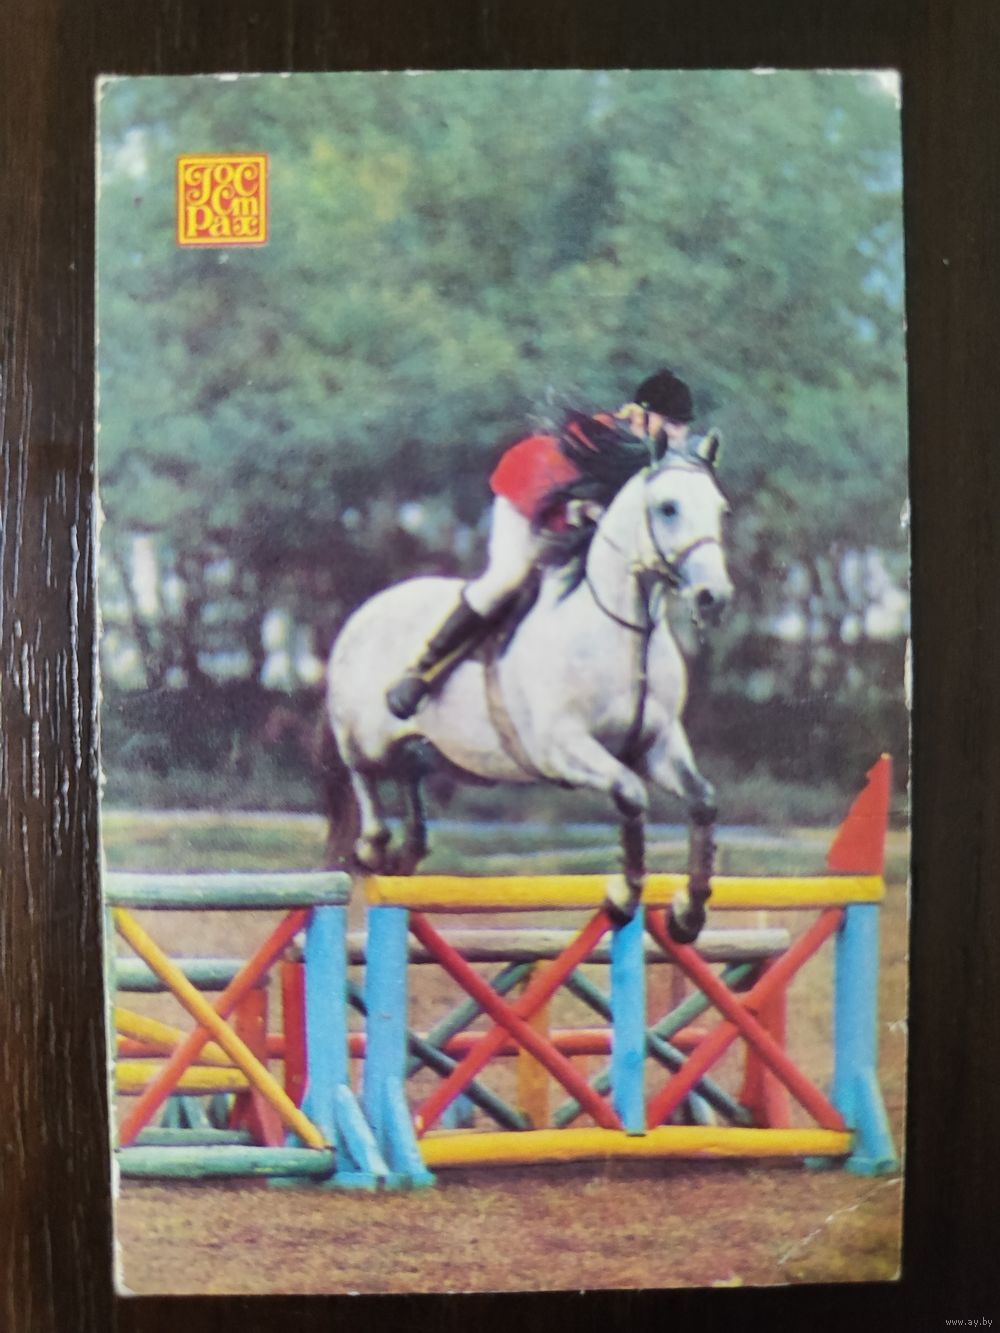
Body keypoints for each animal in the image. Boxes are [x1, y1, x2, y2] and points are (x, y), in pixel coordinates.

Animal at [321, 433, 733, 944]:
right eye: (668, 507)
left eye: (721, 509)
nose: (714, 597)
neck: (623, 631)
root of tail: (366, 610)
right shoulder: (563, 747)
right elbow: (632, 795)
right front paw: (623, 897)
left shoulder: (656, 743)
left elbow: (702, 801)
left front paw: (687, 913)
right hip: (365, 734)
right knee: (360, 771)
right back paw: (376, 845)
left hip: (426, 748)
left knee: (409, 771)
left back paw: (408, 849)